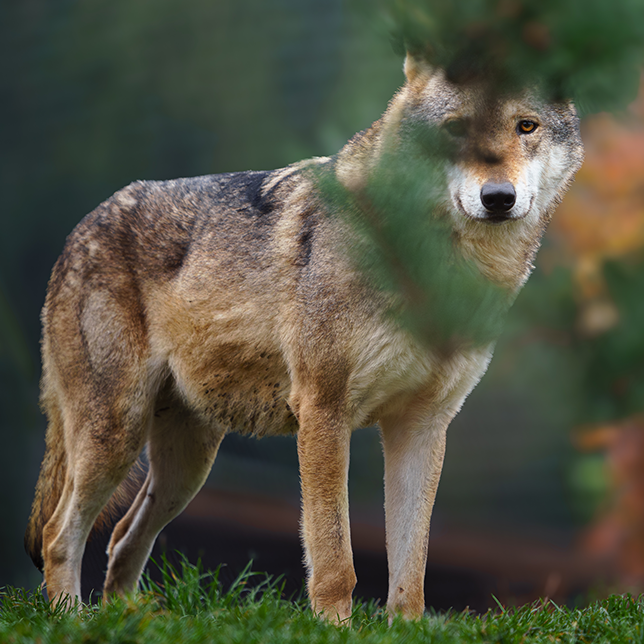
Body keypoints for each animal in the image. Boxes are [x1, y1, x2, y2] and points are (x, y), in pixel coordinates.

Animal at [25, 53, 583, 621]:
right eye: (456, 129)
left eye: (526, 127)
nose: (498, 198)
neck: (434, 271)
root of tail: (80, 229)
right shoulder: (322, 410)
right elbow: (335, 556)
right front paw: (335, 625)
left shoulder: (421, 425)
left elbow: (411, 568)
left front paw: (405, 626)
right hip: (116, 435)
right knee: (57, 535)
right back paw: (70, 619)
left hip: (186, 467)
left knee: (120, 537)